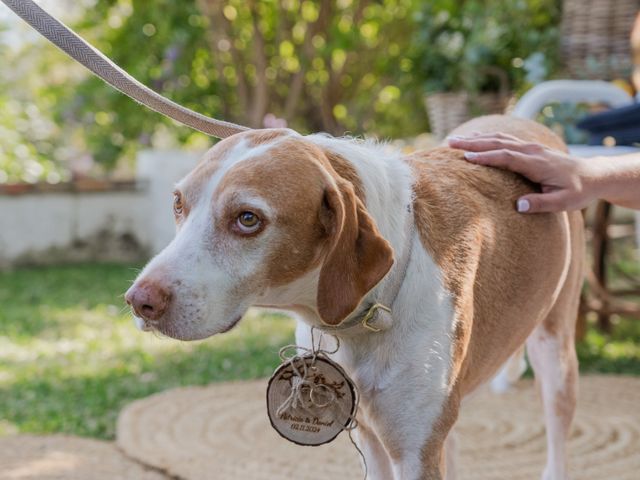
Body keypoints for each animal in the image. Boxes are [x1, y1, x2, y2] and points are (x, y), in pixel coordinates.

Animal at [125, 116, 584, 480]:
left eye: (248, 219)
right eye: (178, 203)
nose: (138, 300)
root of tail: (522, 120)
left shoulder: (414, 452)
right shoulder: (369, 434)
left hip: (555, 356)